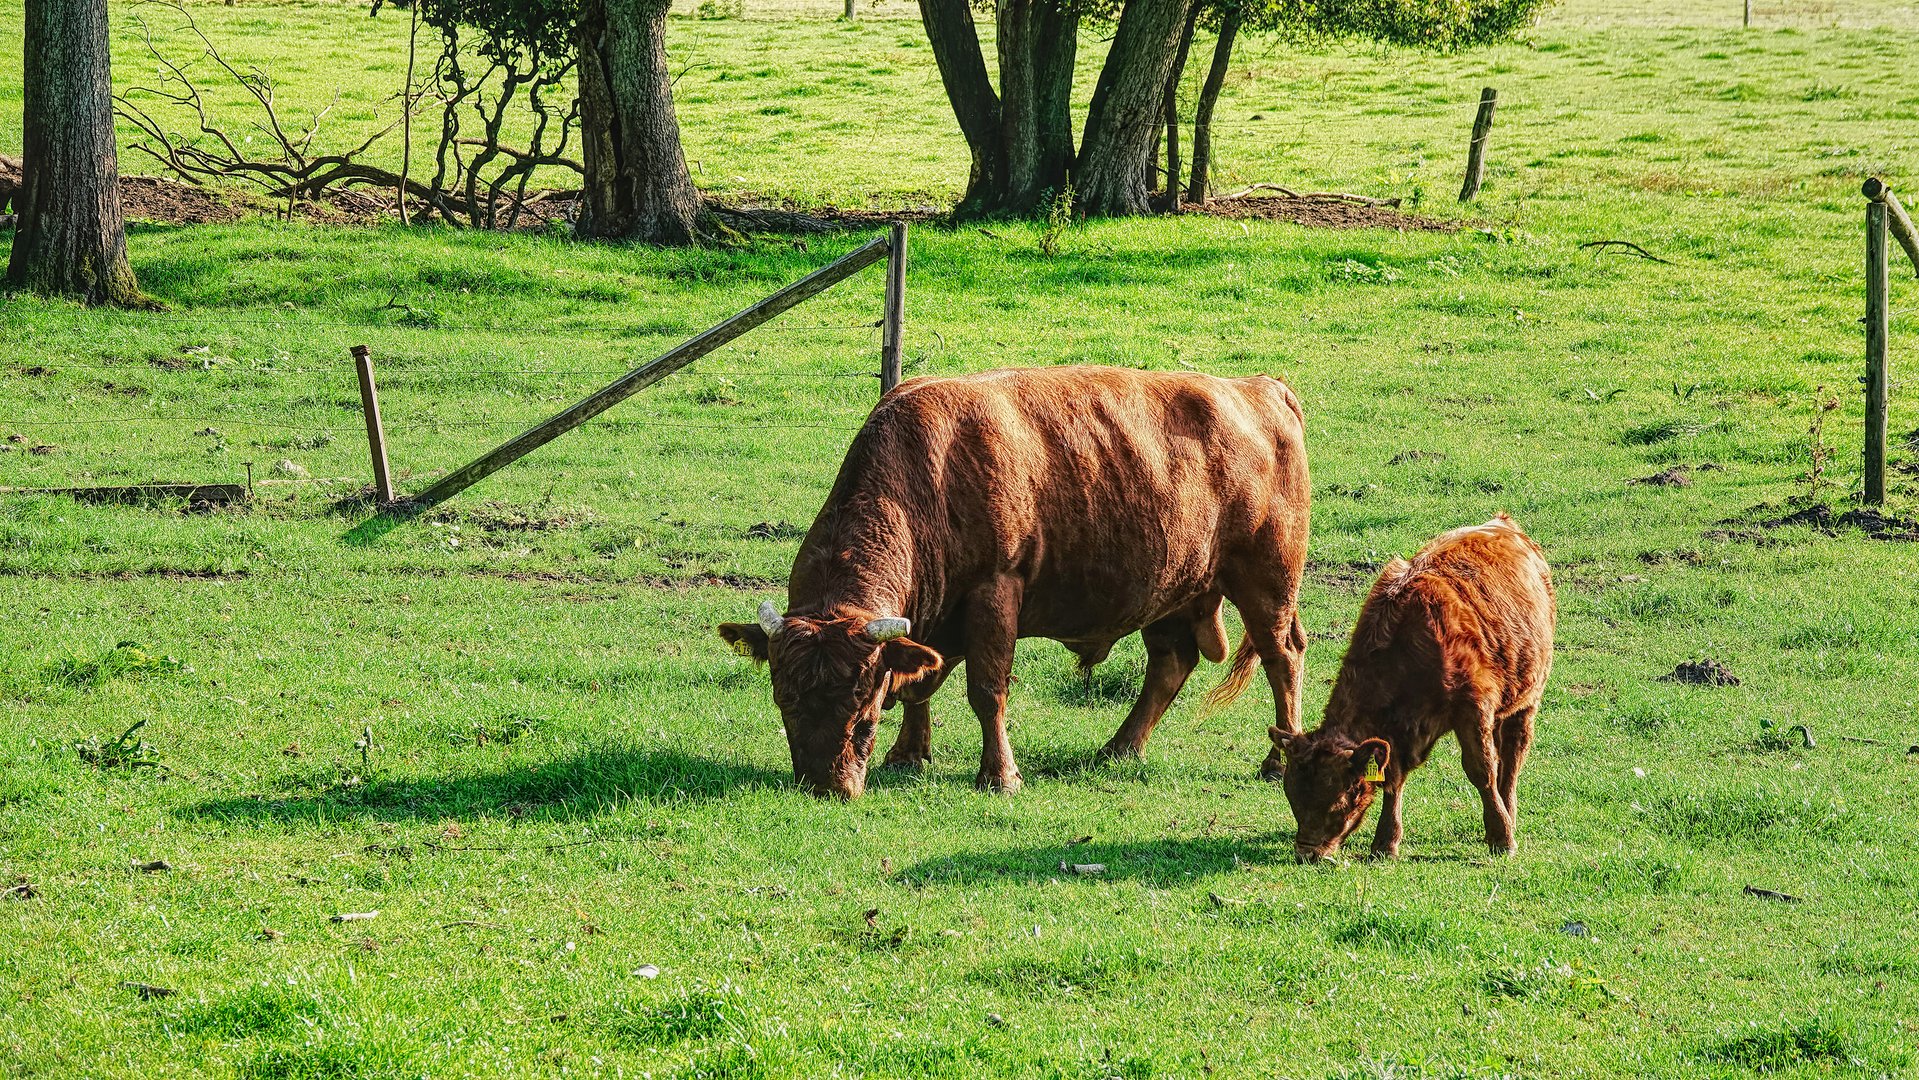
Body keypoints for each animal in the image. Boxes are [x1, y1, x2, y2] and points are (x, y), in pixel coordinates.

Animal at [721, 368, 1320, 798]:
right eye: (785, 700)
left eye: (863, 713)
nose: (826, 785)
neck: (925, 476)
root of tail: (1259, 388)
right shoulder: (932, 621)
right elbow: (919, 680)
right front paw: (910, 754)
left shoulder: (994, 592)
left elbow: (987, 690)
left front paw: (1000, 776)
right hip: (1172, 590)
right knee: (1171, 664)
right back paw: (1120, 748)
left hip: (1266, 585)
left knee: (1282, 657)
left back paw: (1276, 761)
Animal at [1274, 514, 1558, 863]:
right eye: (1292, 797)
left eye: (1339, 798)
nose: (1307, 853)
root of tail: (1505, 525)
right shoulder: (1395, 733)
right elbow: (1393, 778)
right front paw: (1385, 843)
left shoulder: (1472, 710)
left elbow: (1482, 770)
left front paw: (1501, 838)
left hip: (1527, 700)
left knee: (1512, 756)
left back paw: (1508, 816)